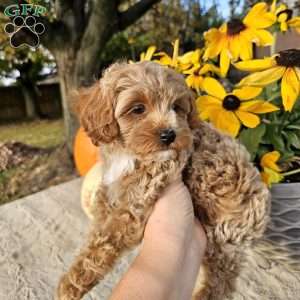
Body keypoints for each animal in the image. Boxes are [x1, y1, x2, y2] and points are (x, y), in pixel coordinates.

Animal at [55, 61, 270, 300]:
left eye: (176, 107)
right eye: (138, 109)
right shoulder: (113, 187)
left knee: (220, 282)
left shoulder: (139, 198)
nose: (169, 135)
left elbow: (104, 242)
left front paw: (71, 284)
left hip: (225, 234)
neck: (130, 153)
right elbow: (100, 224)